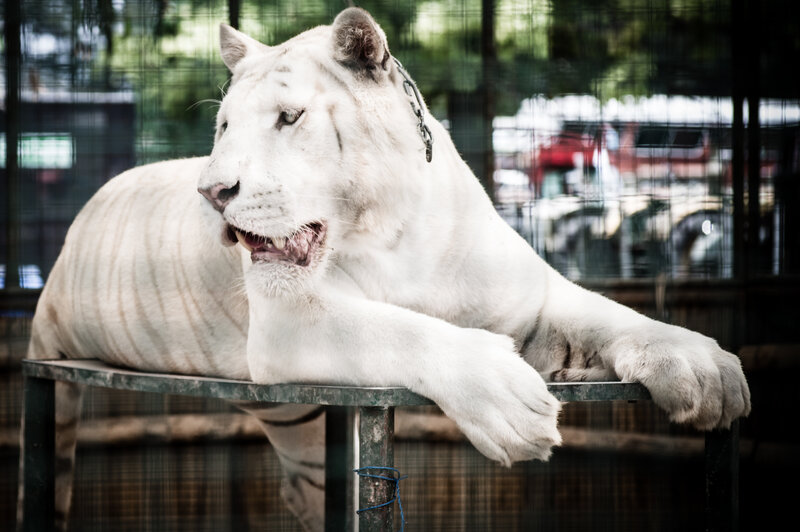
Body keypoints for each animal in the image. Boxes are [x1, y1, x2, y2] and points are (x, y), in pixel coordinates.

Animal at [20, 7, 751, 531]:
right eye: (224, 126)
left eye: (289, 117)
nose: (212, 192)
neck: (395, 229)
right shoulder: (292, 320)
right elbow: (404, 330)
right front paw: (510, 404)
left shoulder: (531, 298)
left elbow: (614, 314)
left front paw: (706, 369)